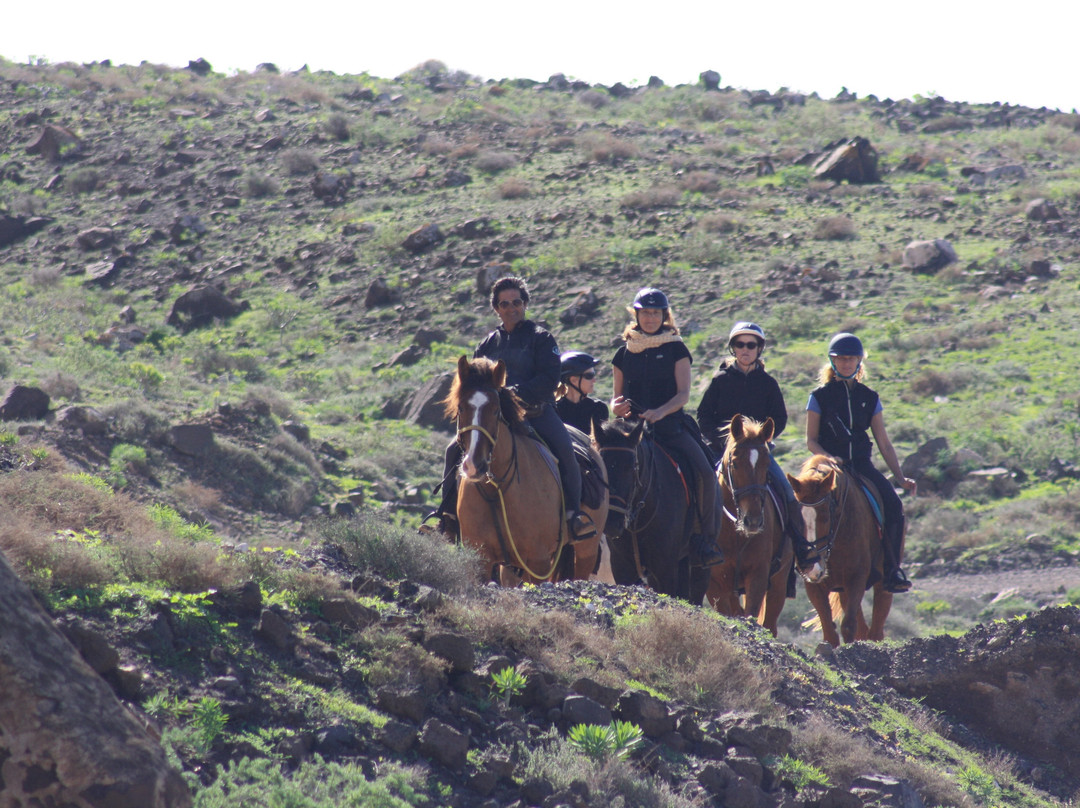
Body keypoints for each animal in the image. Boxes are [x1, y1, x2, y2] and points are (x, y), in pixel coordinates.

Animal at [440, 356, 609, 583]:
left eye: (496, 410)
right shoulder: (481, 558)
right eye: (461, 408)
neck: (497, 489)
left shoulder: (538, 561)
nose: (474, 465)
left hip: (585, 552)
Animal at [708, 416, 794, 639]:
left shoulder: (758, 575)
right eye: (735, 463)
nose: (753, 521)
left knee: (770, 623)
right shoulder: (715, 583)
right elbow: (727, 612)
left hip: (778, 582)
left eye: (766, 464)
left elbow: (751, 616)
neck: (735, 534)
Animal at [786, 458, 894, 648]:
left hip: (881, 583)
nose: (810, 565)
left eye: (824, 517)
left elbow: (848, 626)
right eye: (794, 516)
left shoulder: (857, 578)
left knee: (876, 628)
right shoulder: (814, 585)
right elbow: (830, 632)